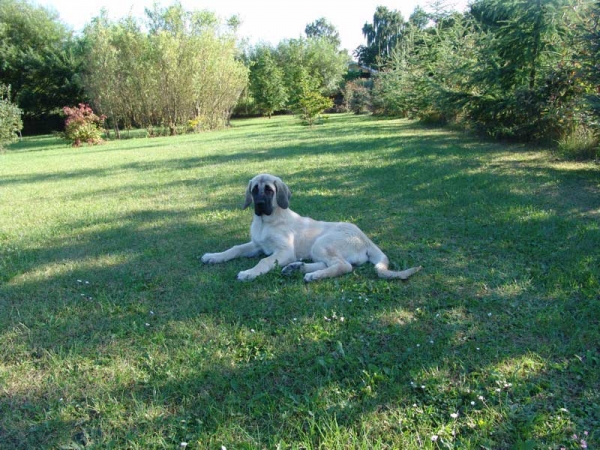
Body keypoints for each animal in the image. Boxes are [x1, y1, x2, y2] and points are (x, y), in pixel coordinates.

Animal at [202, 173, 422, 282]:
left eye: (269, 190)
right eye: (255, 190)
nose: (260, 205)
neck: (266, 221)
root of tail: (366, 239)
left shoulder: (284, 251)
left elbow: (264, 261)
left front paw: (249, 273)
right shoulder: (257, 245)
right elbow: (235, 249)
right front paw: (214, 256)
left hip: (322, 243)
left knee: (344, 266)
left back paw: (312, 275)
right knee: (328, 264)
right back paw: (297, 268)